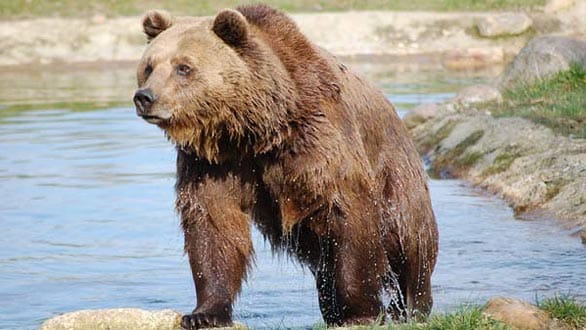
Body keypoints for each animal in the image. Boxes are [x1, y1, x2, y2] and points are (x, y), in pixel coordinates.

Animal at [132, 3, 434, 328]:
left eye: (183, 67)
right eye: (149, 66)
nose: (145, 97)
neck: (257, 131)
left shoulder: (318, 141)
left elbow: (349, 215)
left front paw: (361, 312)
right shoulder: (214, 163)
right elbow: (213, 223)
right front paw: (204, 313)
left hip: (395, 172)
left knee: (409, 240)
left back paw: (414, 305)